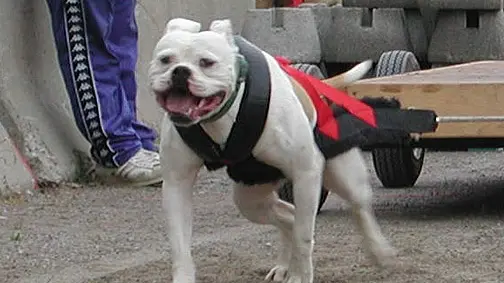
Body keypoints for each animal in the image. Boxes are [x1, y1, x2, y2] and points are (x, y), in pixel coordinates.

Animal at [150, 17, 398, 283]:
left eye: (206, 62)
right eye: (165, 60)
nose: (180, 71)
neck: (220, 116)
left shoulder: (306, 173)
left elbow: (304, 235)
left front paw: (300, 276)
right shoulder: (176, 185)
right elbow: (179, 245)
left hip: (342, 176)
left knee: (357, 207)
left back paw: (379, 252)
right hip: (251, 197)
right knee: (289, 216)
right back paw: (283, 265)